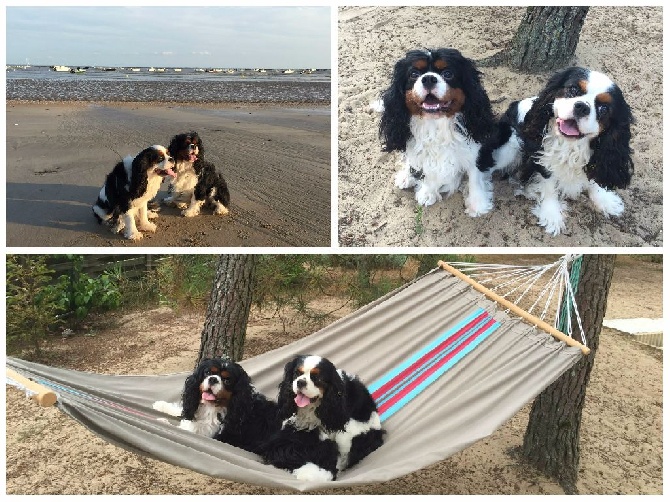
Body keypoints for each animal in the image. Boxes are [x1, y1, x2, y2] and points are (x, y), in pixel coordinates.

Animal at [478, 66, 636, 235]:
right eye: (573, 89)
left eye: (604, 108)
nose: (582, 107)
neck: (571, 145)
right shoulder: (543, 157)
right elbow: (549, 185)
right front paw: (551, 215)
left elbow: (593, 179)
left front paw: (604, 200)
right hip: (511, 146)